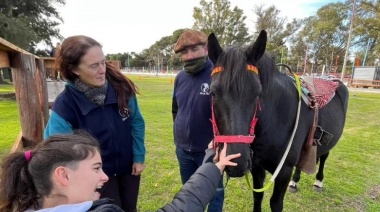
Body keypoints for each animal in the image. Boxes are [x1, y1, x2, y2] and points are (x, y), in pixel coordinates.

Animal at [209, 30, 348, 212]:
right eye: (213, 93)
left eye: (257, 93)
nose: (236, 162)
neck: (275, 119)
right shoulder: (257, 167)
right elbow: (257, 196)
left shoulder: (283, 171)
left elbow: (276, 204)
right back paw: (295, 182)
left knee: (324, 156)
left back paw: (318, 182)